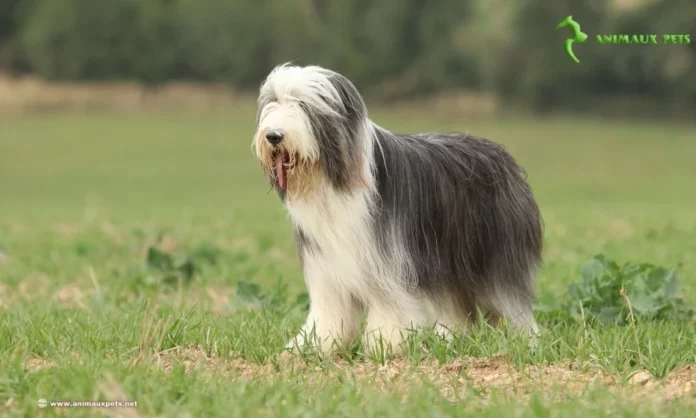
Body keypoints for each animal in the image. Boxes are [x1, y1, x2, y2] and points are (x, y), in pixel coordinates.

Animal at [253, 64, 548, 352]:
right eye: (273, 102)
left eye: (303, 104)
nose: (273, 136)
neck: (334, 180)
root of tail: (500, 152)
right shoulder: (327, 266)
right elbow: (329, 311)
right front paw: (312, 345)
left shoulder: (388, 259)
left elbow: (390, 305)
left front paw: (384, 344)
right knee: (455, 303)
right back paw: (451, 339)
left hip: (498, 253)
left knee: (512, 299)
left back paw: (527, 341)